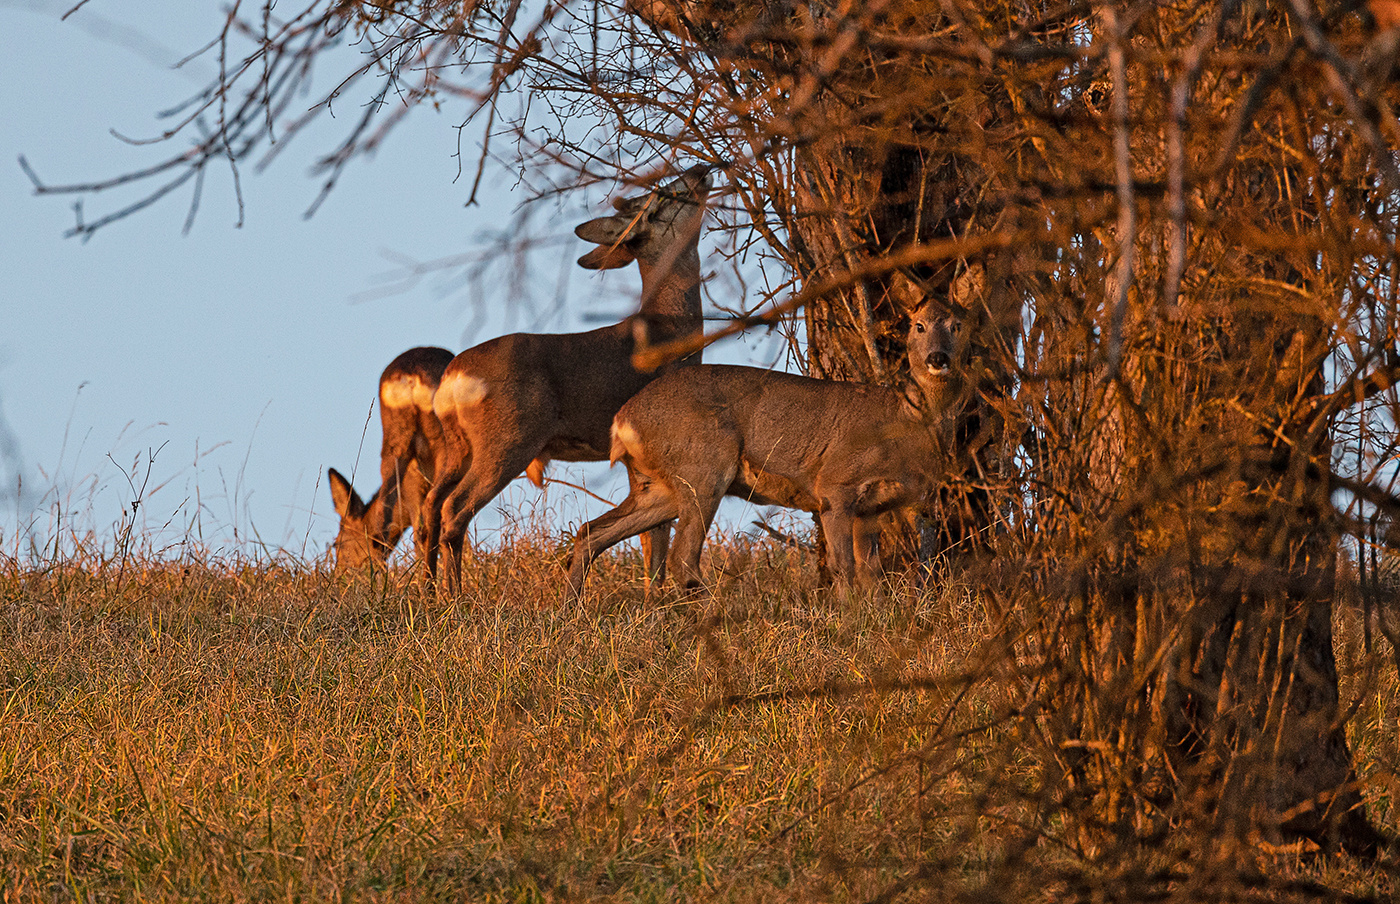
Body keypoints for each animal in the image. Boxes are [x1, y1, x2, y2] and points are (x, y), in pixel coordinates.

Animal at [327, 344, 453, 570]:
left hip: (394, 445)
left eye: (337, 543)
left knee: (391, 521)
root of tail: (410, 378)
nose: (339, 574)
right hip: (439, 440)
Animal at [420, 167, 711, 598]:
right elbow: (658, 531)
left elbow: (651, 534)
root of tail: (453, 378)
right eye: (663, 195)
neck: (669, 330)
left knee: (429, 504)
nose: (701, 170)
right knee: (455, 507)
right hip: (508, 439)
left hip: (457, 446)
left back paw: (426, 593)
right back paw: (456, 599)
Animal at [562, 300, 968, 598]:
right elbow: (844, 568)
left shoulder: (873, 509)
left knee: (590, 532)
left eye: (956, 326)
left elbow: (872, 574)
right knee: (683, 558)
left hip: (658, 486)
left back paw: (571, 614)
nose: (938, 358)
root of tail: (623, 420)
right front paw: (848, 624)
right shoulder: (834, 487)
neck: (907, 418)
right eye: (918, 326)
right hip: (705, 466)